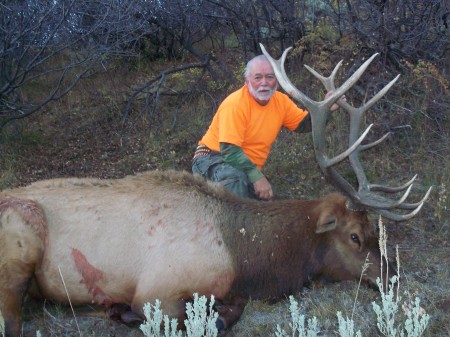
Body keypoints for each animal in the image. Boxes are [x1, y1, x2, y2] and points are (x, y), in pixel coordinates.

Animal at [0, 45, 428, 336]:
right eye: (354, 236)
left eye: (373, 231)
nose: (393, 277)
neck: (246, 260)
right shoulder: (156, 291)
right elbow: (218, 315)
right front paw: (122, 313)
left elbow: (235, 306)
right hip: (20, 239)